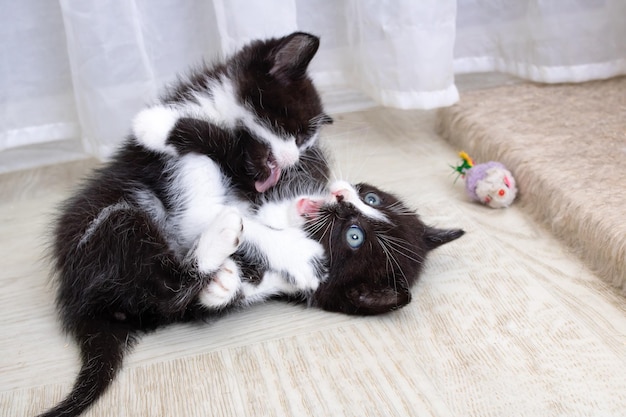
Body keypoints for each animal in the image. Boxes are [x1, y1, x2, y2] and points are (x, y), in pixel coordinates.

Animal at [39, 31, 332, 416]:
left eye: (305, 142)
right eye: (295, 132)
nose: (292, 160)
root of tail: (78, 305)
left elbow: (261, 207)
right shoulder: (188, 184)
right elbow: (222, 196)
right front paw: (299, 254)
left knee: (173, 305)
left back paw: (227, 282)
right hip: (114, 222)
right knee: (166, 290)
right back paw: (219, 246)